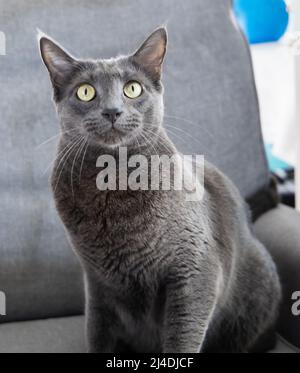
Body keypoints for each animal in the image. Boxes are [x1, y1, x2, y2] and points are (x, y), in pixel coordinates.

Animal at [39, 27, 282, 350]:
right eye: (85, 92)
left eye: (132, 89)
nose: (112, 111)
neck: (114, 181)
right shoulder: (97, 284)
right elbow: (98, 334)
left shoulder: (196, 271)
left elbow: (182, 337)